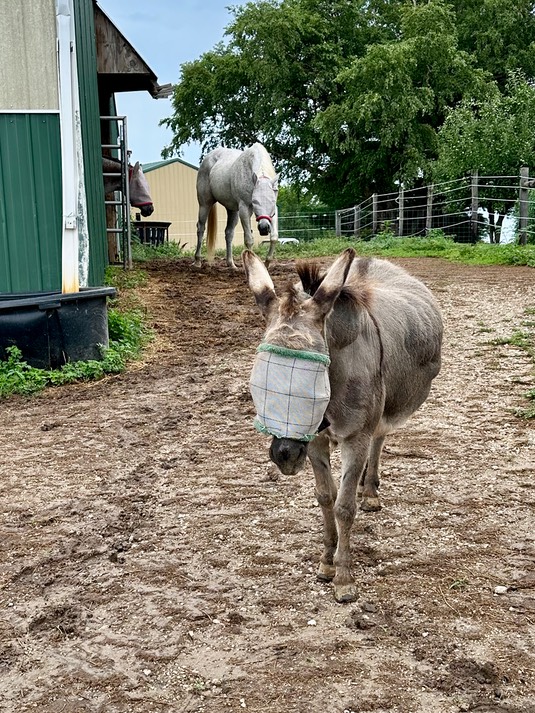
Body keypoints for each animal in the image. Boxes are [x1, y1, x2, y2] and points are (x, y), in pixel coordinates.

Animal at [244, 248, 443, 603]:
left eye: (313, 373)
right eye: (260, 376)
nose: (284, 455)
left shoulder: (355, 437)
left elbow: (345, 507)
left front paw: (345, 578)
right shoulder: (314, 440)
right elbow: (326, 497)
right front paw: (326, 563)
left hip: (383, 412)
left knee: (380, 438)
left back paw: (370, 491)